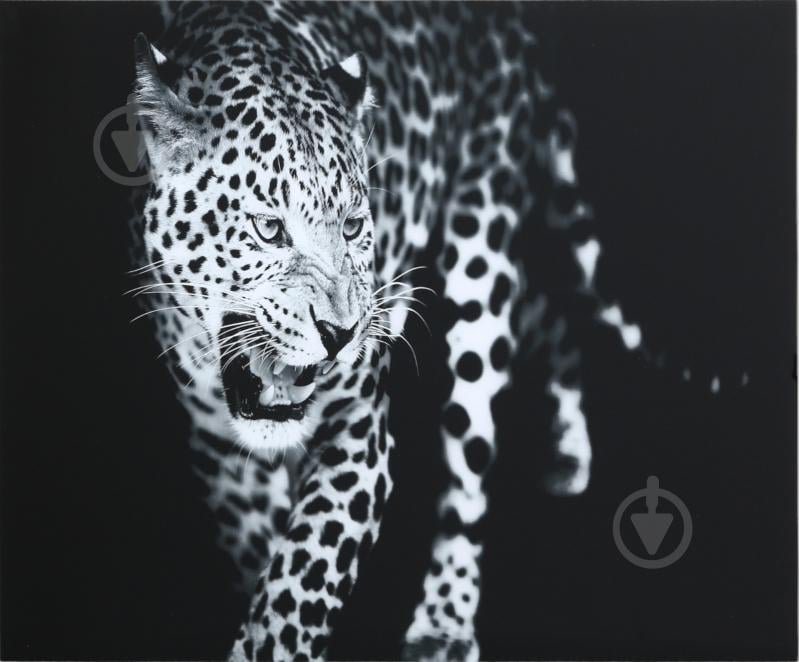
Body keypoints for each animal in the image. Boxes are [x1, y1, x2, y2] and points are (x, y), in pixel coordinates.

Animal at [126, 2, 744, 660]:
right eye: (268, 229)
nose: (342, 333)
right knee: (545, 314)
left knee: (469, 471)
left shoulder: (361, 431)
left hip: (481, 261)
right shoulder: (218, 452)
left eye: (352, 226)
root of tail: (511, 25)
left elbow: (301, 579)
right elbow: (264, 562)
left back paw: (445, 620)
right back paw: (567, 445)